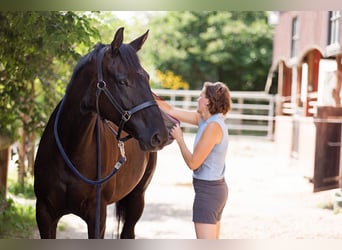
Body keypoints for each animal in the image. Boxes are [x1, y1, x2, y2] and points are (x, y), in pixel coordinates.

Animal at [33, 26, 176, 238]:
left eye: (147, 77)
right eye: (123, 81)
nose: (161, 135)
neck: (71, 150)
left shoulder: (97, 217)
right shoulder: (44, 214)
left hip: (137, 197)